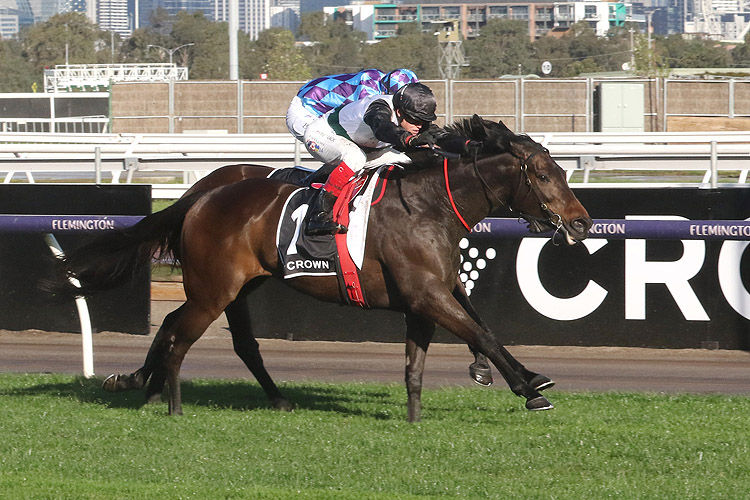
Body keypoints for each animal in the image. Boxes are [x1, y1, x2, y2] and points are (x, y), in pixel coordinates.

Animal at [50, 117, 596, 422]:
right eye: (543, 174)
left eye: (563, 171)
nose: (581, 222)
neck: (429, 206)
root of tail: (201, 197)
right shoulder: (426, 294)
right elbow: (481, 333)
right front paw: (530, 389)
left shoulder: (433, 292)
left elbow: (463, 337)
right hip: (213, 290)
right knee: (179, 334)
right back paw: (171, 403)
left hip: (237, 287)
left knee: (207, 334)